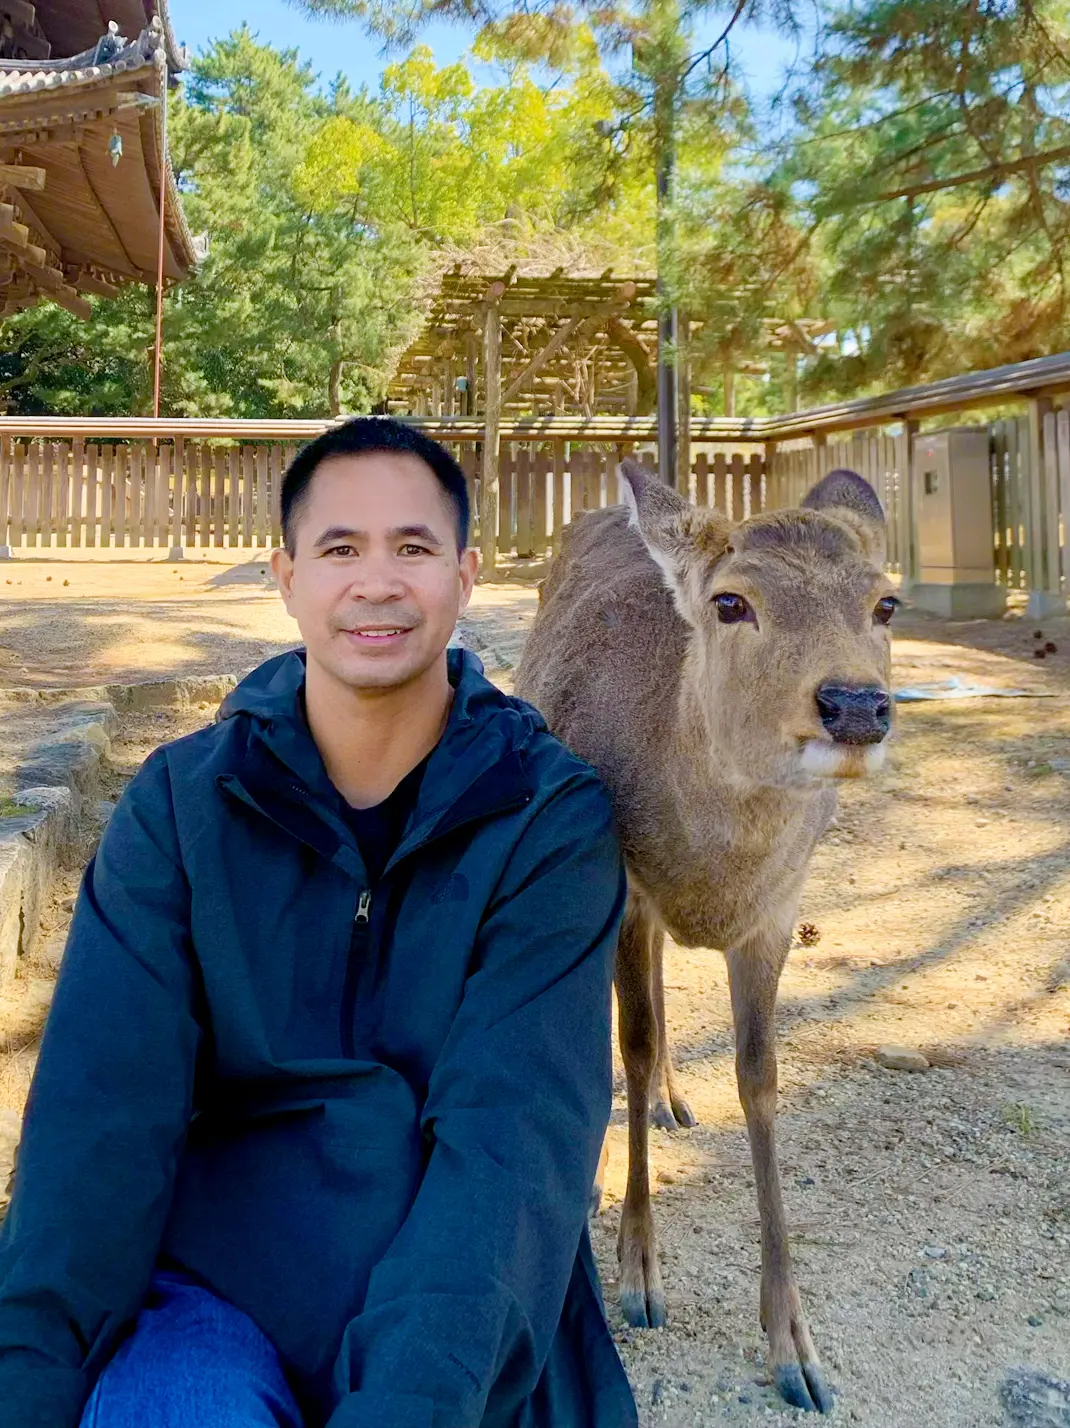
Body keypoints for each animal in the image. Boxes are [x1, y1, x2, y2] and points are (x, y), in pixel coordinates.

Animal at [516, 461, 897, 1415]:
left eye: (885, 603)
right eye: (731, 603)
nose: (855, 705)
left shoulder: (775, 914)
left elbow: (760, 1076)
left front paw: (796, 1350)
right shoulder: (619, 888)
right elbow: (637, 1039)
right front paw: (638, 1276)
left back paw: (673, 1102)